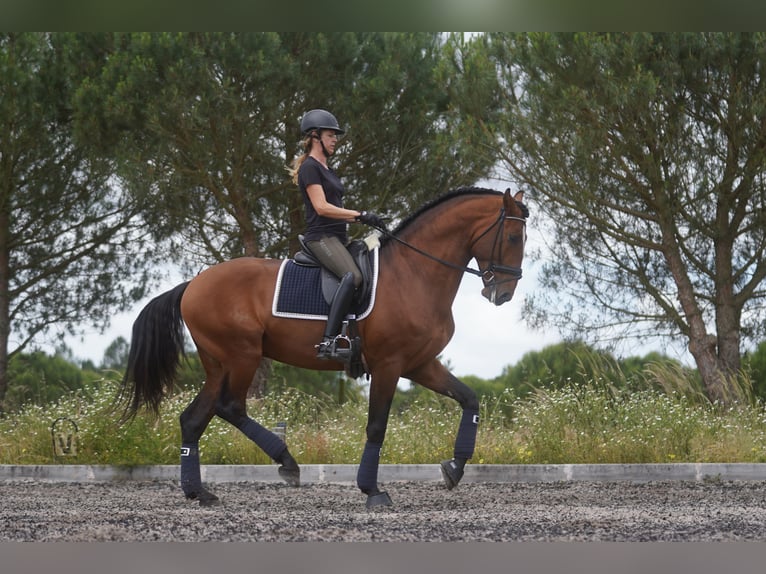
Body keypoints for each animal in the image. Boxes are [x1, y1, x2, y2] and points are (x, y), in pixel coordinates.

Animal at [118, 187, 528, 510]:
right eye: (512, 238)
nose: (504, 293)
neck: (414, 273)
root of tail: (192, 284)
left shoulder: (419, 364)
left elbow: (469, 399)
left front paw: (455, 468)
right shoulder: (389, 364)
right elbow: (376, 426)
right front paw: (372, 490)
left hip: (218, 362)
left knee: (193, 419)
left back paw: (198, 492)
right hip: (242, 355)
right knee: (230, 407)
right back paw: (287, 463)